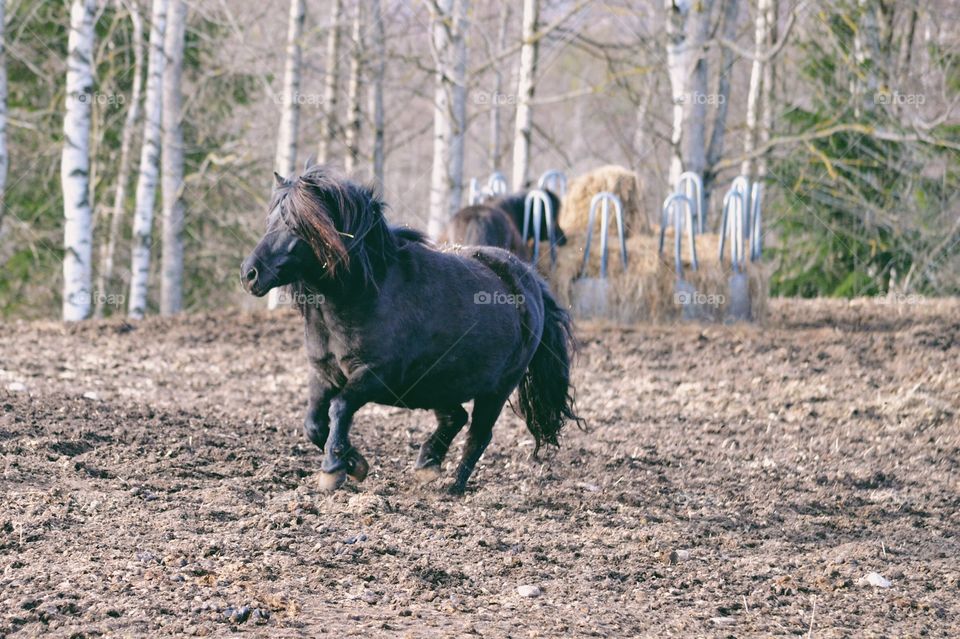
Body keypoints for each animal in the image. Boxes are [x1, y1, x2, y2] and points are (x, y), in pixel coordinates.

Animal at [244, 166, 580, 496]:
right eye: (271, 221)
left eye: (296, 225)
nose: (250, 274)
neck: (365, 293)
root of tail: (531, 283)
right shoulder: (323, 373)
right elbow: (313, 424)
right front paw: (354, 463)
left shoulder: (374, 375)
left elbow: (340, 408)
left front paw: (334, 469)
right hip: (439, 384)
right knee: (455, 417)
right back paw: (427, 464)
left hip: (496, 390)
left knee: (478, 434)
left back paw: (453, 488)